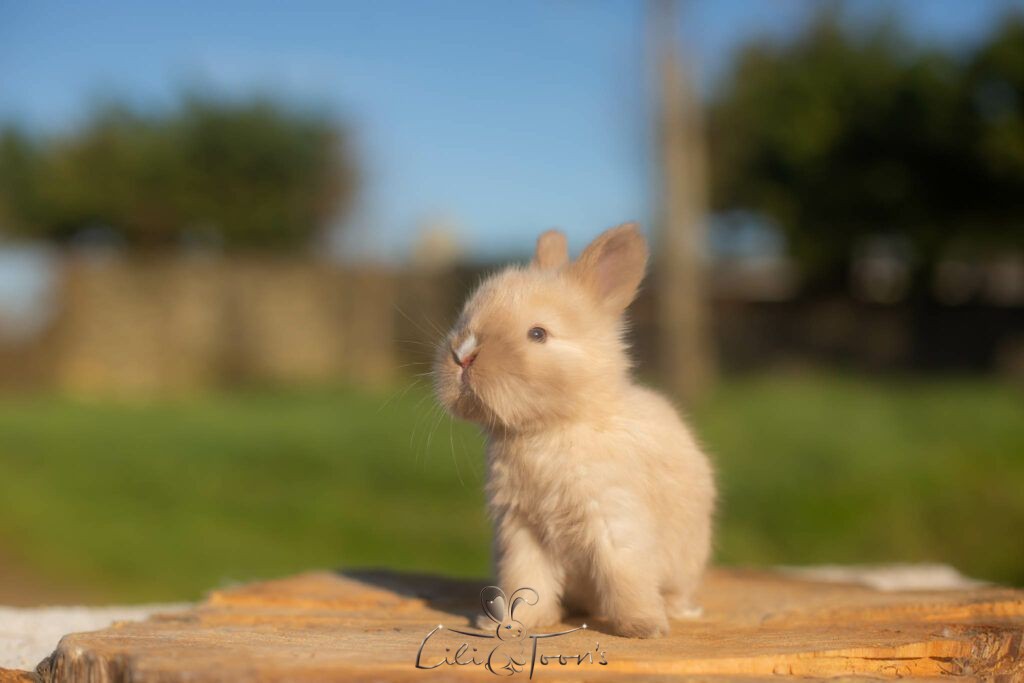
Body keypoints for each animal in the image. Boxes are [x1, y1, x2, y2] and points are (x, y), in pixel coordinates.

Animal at [433, 222, 716, 638]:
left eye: (537, 334)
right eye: (466, 318)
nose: (463, 355)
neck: (547, 430)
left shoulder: (615, 521)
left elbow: (625, 575)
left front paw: (644, 627)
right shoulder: (521, 531)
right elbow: (525, 580)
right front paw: (515, 624)